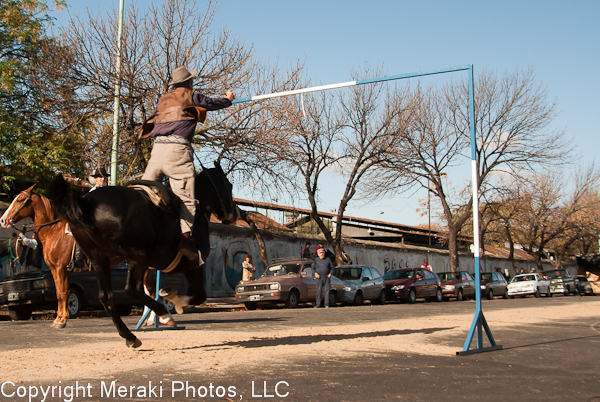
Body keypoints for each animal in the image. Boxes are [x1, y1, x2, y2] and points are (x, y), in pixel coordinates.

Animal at [0, 185, 75, 326]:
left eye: (19, 200)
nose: (2, 220)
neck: (54, 231)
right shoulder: (57, 269)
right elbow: (61, 292)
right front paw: (59, 318)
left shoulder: (60, 268)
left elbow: (62, 293)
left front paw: (61, 321)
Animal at [47, 162, 237, 348]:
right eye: (229, 185)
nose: (233, 214)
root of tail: (85, 203)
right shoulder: (194, 264)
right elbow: (198, 295)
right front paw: (175, 301)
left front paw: (170, 297)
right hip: (136, 258)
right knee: (132, 289)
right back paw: (163, 315)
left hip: (100, 260)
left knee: (107, 297)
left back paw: (130, 336)